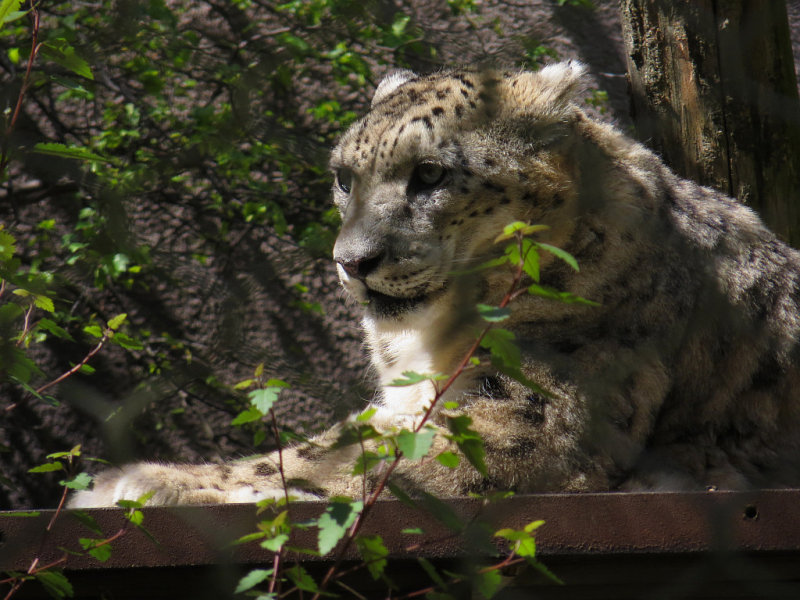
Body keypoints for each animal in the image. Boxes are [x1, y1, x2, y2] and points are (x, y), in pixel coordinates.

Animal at [69, 62, 800, 506]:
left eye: (429, 174)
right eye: (344, 178)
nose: (352, 261)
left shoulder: (526, 420)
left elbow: (345, 465)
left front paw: (148, 485)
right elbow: (327, 447)